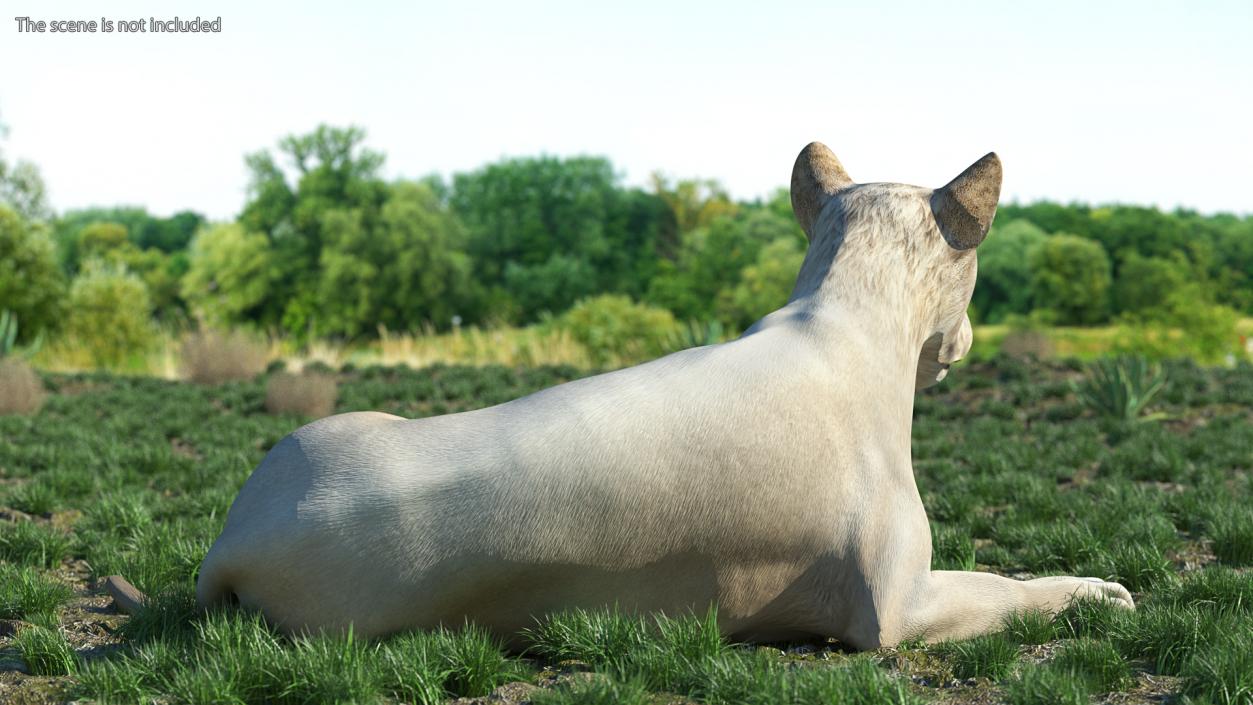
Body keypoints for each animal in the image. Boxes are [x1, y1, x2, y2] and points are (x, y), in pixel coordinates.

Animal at [197, 146, 1137, 646]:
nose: (963, 345)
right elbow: (1012, 585)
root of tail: (230, 546)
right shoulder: (895, 608)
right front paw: (1099, 591)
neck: (843, 318)